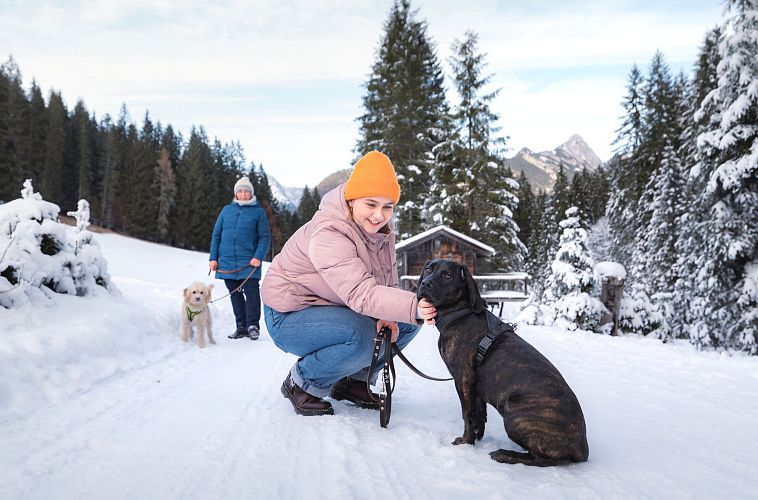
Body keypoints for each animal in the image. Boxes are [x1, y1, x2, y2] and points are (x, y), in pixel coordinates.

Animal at [418, 260, 592, 466]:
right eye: (428, 269)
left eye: (447, 276)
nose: (425, 284)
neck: (460, 313)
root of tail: (581, 446)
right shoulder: (475, 385)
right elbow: (479, 415)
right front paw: (476, 437)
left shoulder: (463, 379)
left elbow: (467, 414)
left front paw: (465, 441)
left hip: (514, 415)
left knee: (543, 459)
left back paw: (505, 454)